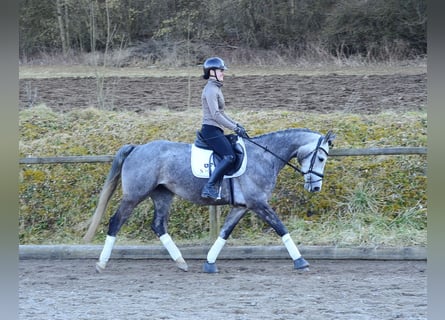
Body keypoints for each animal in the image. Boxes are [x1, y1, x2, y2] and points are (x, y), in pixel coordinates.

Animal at [82, 127, 332, 272]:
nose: (315, 187)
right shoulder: (258, 203)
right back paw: (101, 263)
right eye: (320, 158)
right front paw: (301, 261)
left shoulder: (242, 206)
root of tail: (137, 148)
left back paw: (181, 262)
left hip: (162, 194)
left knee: (159, 225)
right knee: (116, 221)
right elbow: (281, 228)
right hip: (134, 195)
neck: (265, 156)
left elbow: (225, 232)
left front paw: (210, 262)